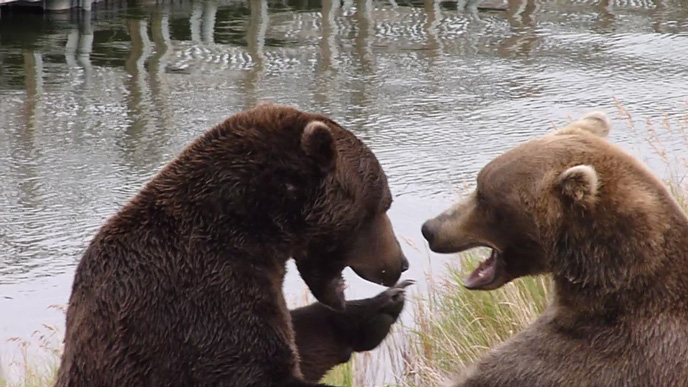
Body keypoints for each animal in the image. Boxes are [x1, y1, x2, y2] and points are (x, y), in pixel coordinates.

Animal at [55, 103, 408, 387]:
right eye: (384, 203)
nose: (400, 263)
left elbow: (299, 341)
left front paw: (383, 305)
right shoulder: (201, 297)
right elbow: (258, 367)